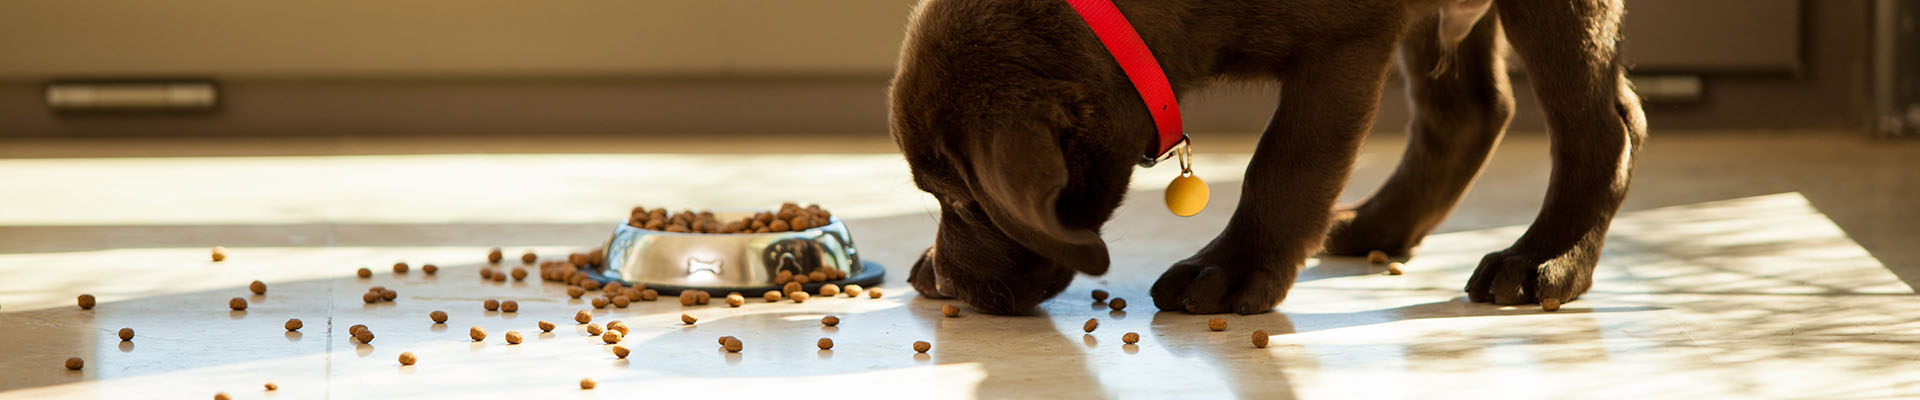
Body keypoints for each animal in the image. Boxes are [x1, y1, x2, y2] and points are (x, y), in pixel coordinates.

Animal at [890, 0, 1643, 313]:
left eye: (960, 199)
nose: (949, 282)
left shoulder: (1344, 43)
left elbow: (1287, 164)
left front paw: (1230, 269)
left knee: (1602, 122)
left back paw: (1547, 259)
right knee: (1471, 109)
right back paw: (1374, 227)